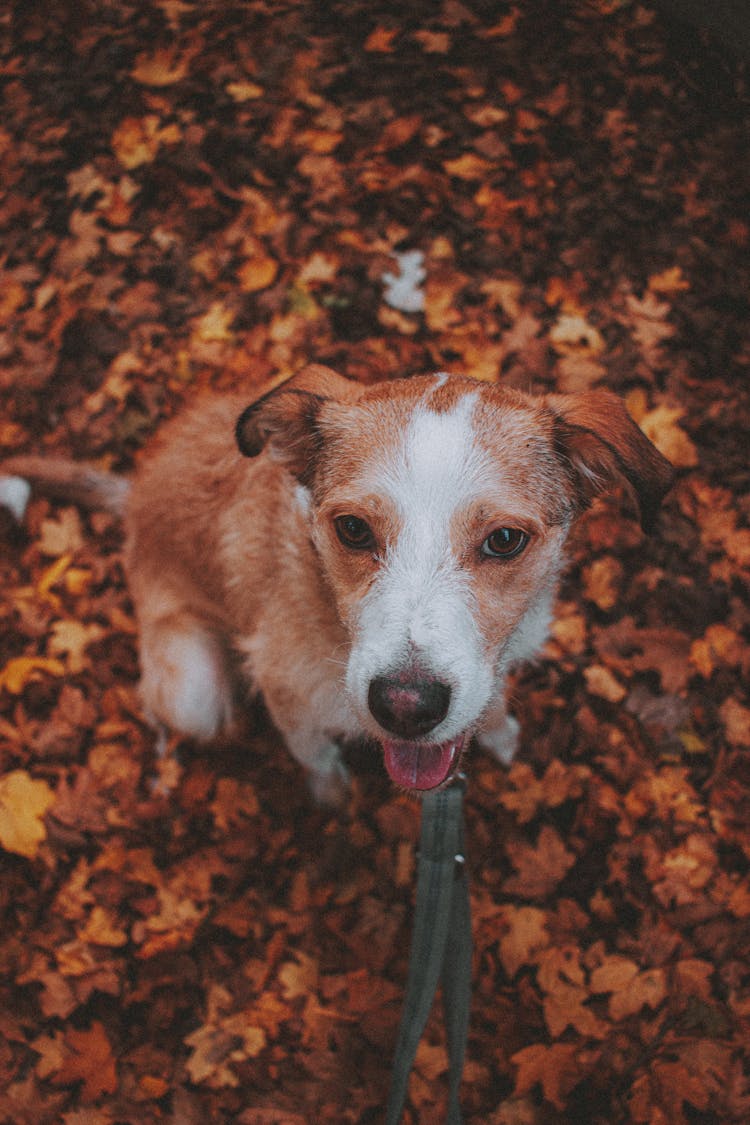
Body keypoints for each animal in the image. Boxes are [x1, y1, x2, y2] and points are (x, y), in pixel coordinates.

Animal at [1, 366, 674, 801]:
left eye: (504, 540)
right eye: (352, 528)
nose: (406, 708)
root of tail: (135, 494)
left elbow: (491, 703)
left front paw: (501, 735)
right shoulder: (287, 694)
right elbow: (314, 752)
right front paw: (330, 795)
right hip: (192, 688)